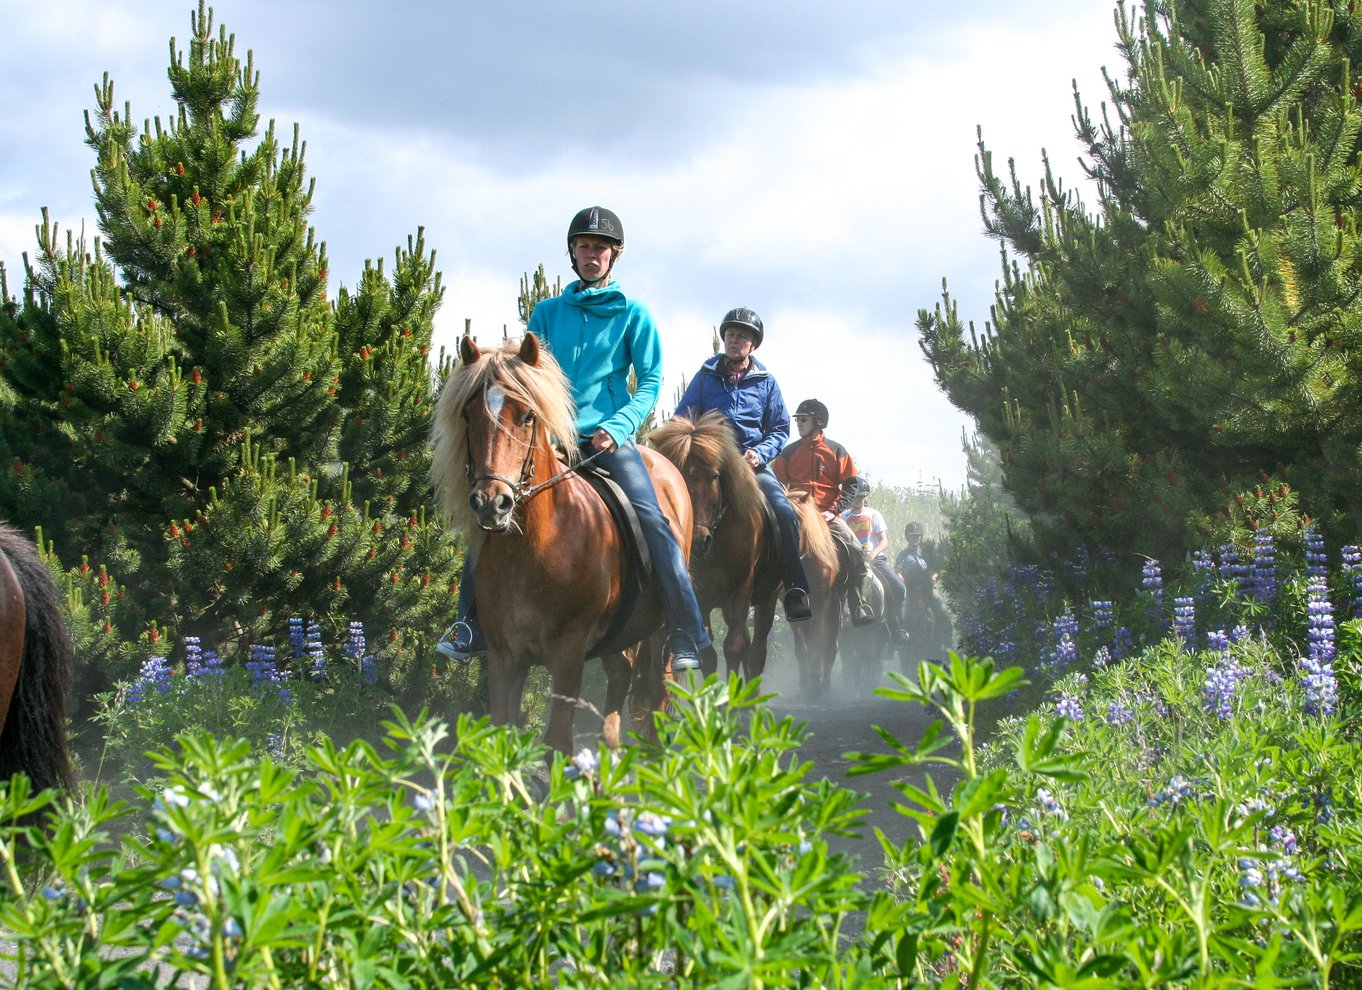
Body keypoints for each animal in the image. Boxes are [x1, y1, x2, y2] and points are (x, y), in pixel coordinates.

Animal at [430, 336, 691, 757]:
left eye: (527, 417)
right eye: (469, 415)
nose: (492, 502)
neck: (535, 549)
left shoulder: (568, 656)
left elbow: (557, 742)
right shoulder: (504, 658)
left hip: (661, 631)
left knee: (657, 696)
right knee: (621, 679)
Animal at [645, 411, 784, 680]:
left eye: (715, 476)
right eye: (678, 476)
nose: (699, 540)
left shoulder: (742, 589)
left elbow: (734, 647)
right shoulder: (701, 596)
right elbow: (708, 653)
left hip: (767, 598)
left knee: (756, 653)